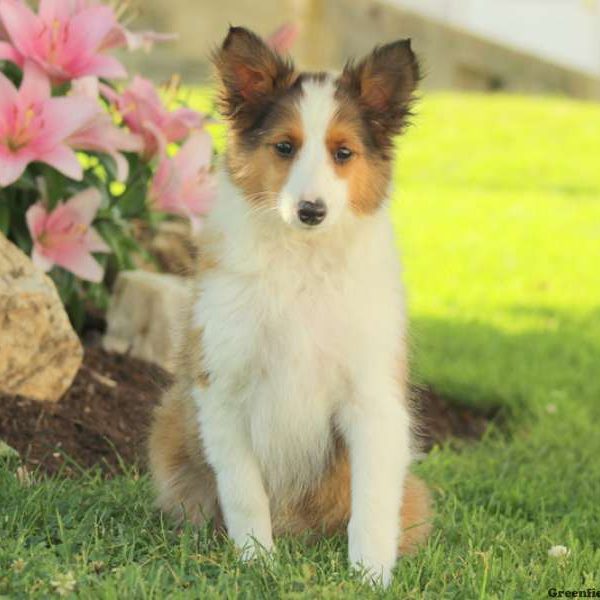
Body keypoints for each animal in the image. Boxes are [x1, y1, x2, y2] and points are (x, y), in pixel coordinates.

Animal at [148, 25, 434, 584]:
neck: (303, 261)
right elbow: (243, 491)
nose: (311, 210)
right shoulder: (222, 387)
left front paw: (370, 576)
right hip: (169, 430)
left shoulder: (372, 396)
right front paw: (257, 560)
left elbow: (371, 501)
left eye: (343, 153)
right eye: (285, 147)